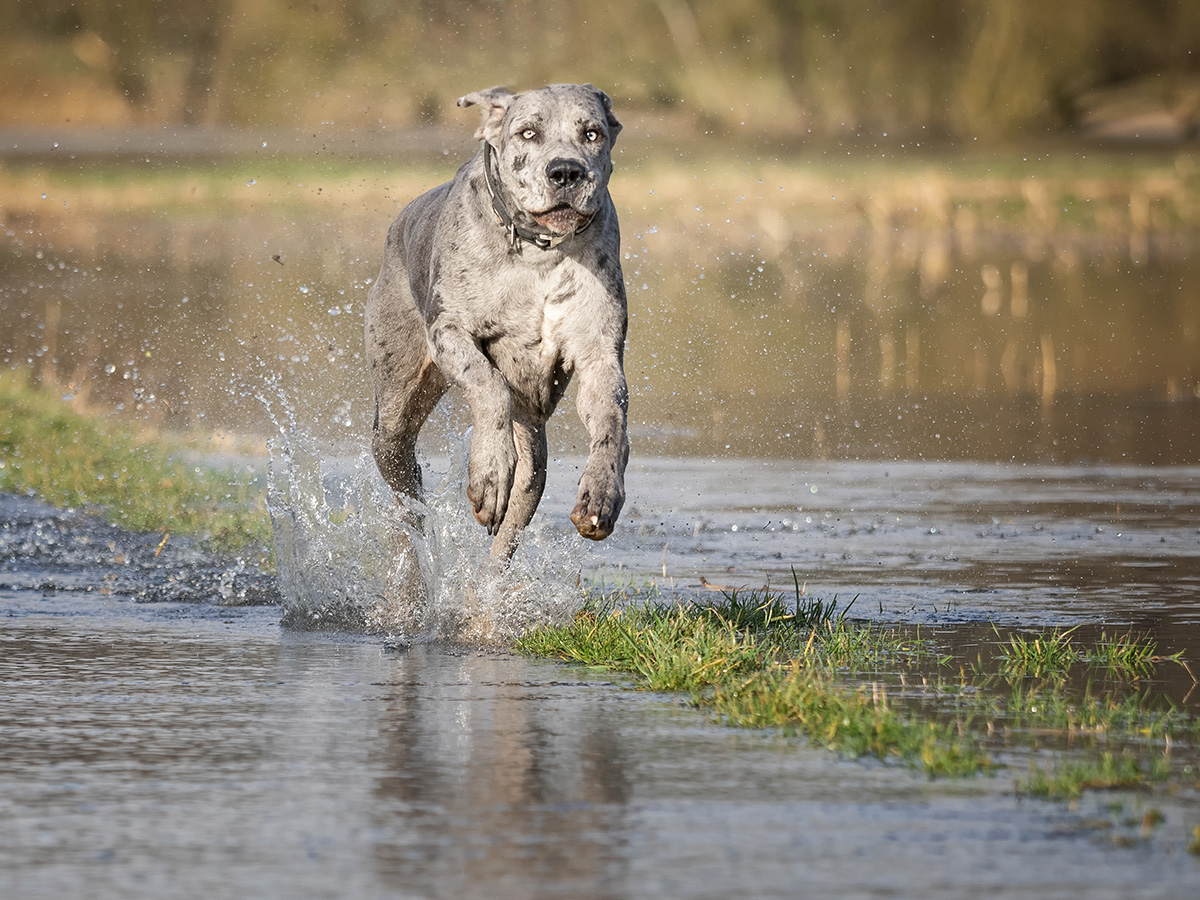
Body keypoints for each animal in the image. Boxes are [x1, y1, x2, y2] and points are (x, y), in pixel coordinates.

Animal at [362, 84, 628, 564]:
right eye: (527, 132)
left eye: (592, 133)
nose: (566, 171)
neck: (538, 252)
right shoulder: (449, 334)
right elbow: (489, 385)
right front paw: (489, 470)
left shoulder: (599, 354)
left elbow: (611, 421)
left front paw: (601, 493)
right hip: (393, 415)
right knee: (407, 497)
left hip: (533, 460)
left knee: (511, 525)